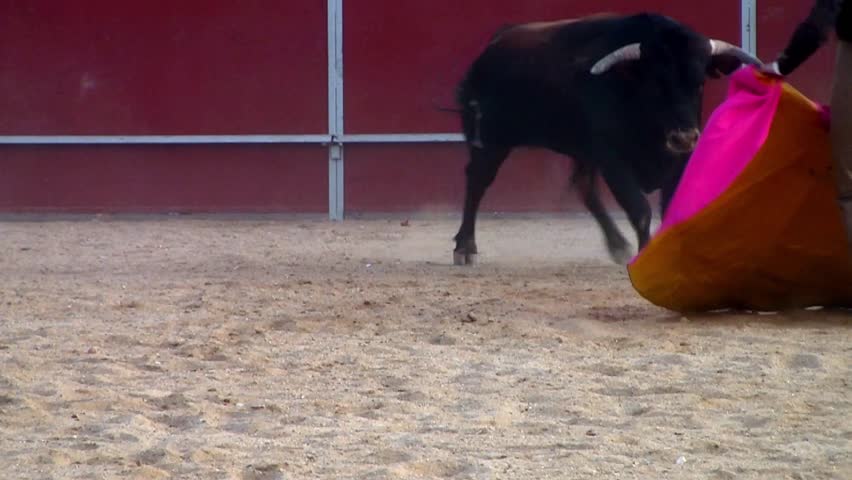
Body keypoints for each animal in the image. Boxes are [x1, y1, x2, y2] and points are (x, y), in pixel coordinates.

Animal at [450, 12, 764, 266]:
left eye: (699, 84)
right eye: (656, 83)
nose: (683, 137)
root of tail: (493, 45)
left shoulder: (677, 159)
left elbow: (671, 208)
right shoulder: (613, 159)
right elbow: (640, 209)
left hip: (581, 150)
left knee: (583, 186)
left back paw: (617, 245)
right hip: (490, 141)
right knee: (477, 181)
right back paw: (465, 247)